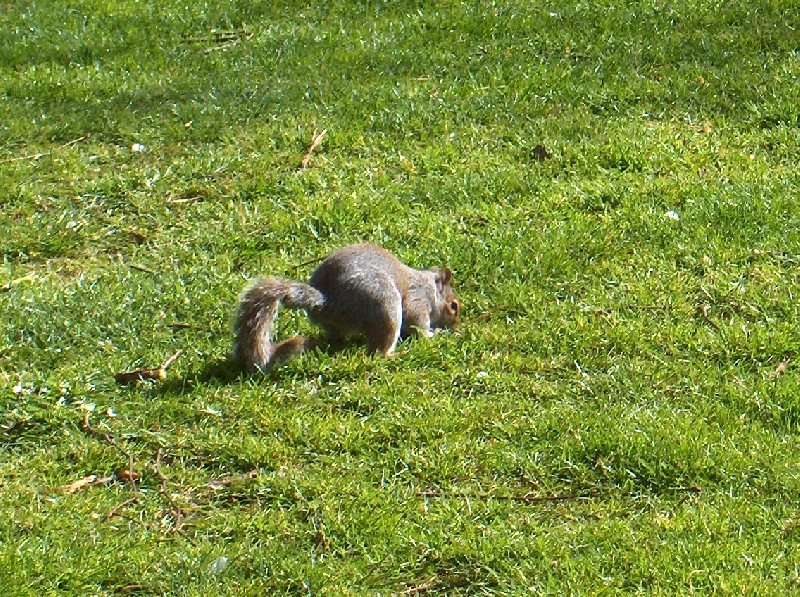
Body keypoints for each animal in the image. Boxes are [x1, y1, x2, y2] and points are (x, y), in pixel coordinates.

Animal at [231, 241, 460, 370]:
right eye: (453, 306)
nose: (456, 326)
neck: (429, 288)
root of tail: (327, 303)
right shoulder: (417, 302)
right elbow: (418, 325)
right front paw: (435, 333)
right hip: (384, 304)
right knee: (377, 351)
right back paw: (394, 355)